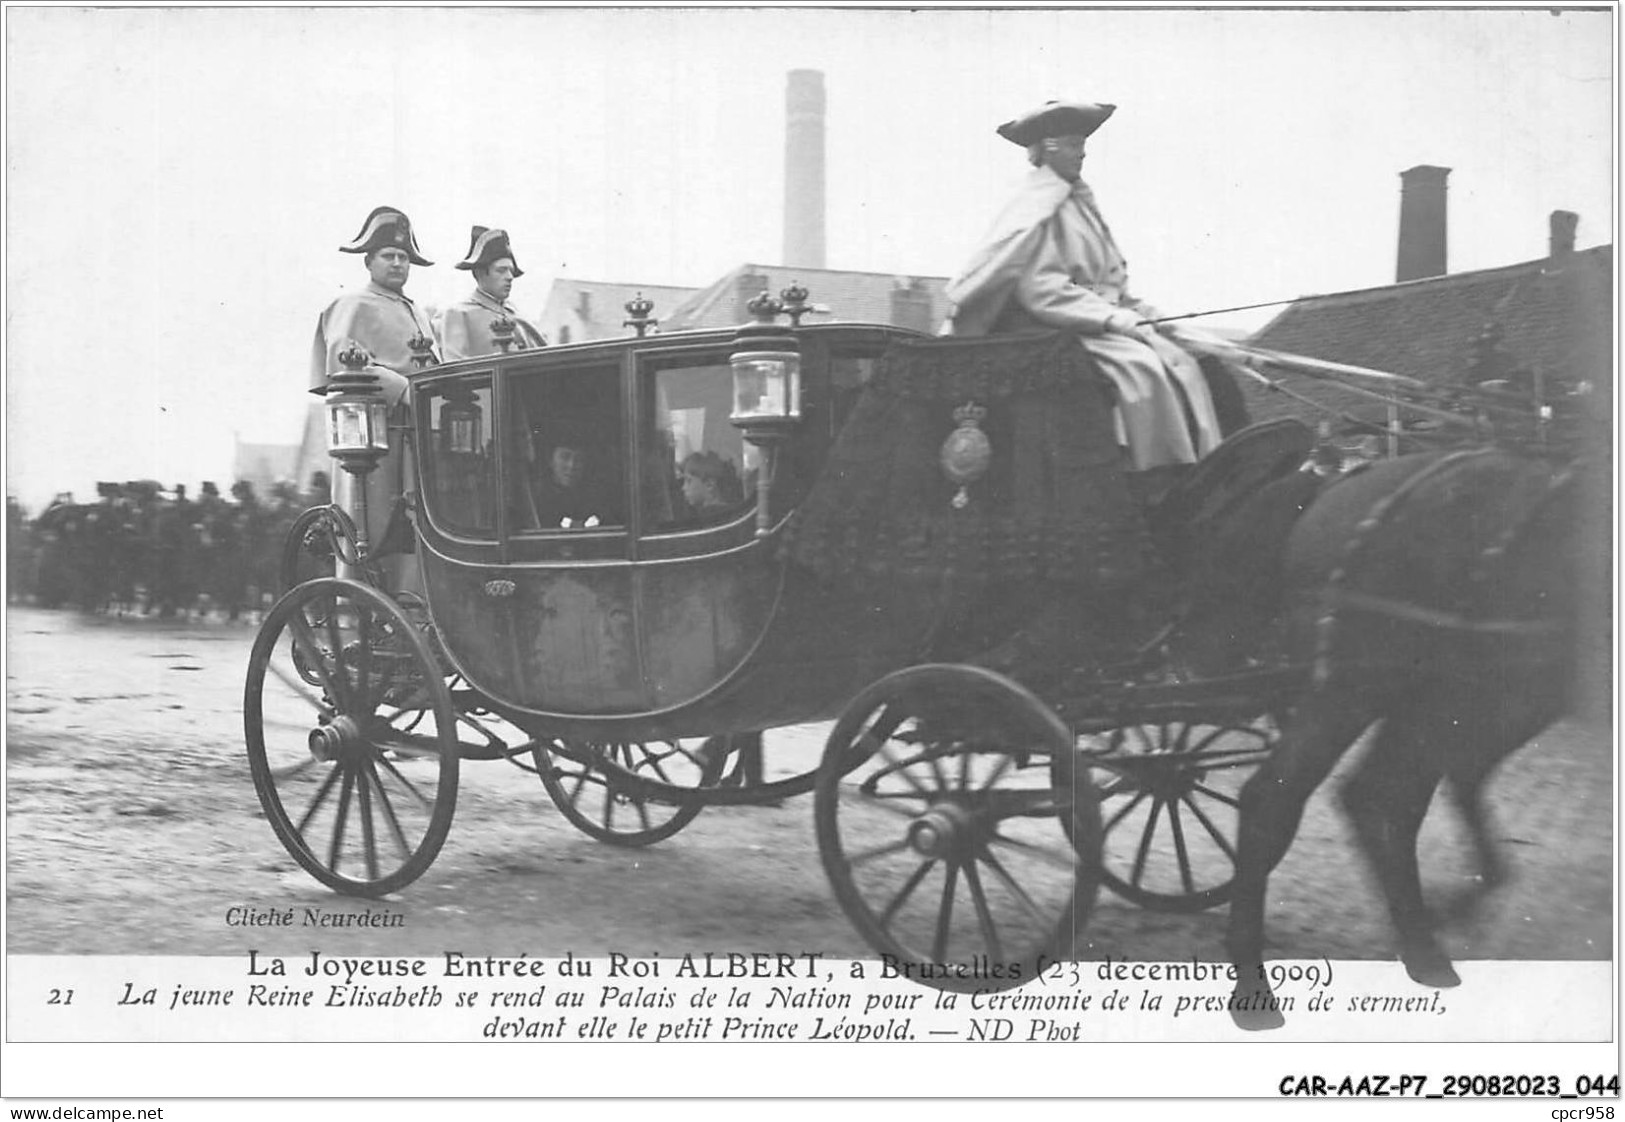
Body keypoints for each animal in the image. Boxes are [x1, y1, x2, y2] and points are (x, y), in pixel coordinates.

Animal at [1222, 442, 1579, 1027]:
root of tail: (1333, 484)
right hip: (1360, 689)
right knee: (1280, 797)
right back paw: (1254, 988)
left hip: (1462, 696)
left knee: (1387, 794)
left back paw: (1426, 942)